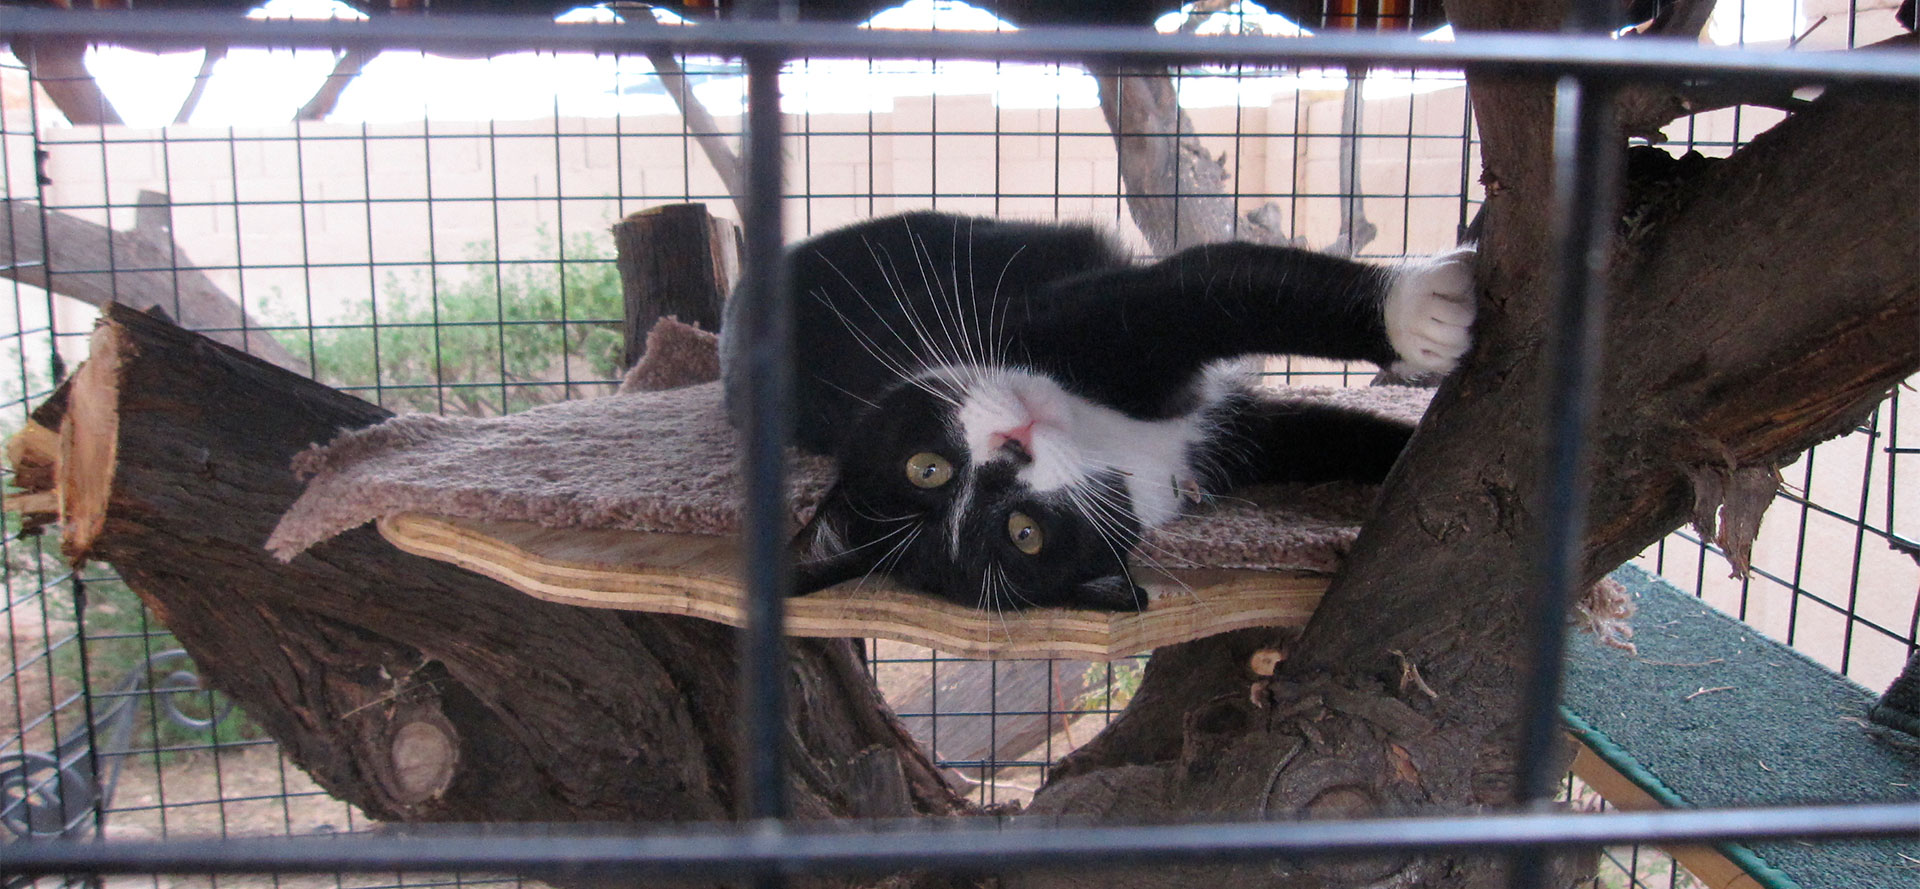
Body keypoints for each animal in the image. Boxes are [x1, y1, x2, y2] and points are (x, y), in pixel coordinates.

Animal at [721, 211, 1466, 614]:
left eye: (924, 467)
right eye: (1024, 534)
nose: (1012, 447)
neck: (1102, 433)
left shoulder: (1075, 327)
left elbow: (1215, 288)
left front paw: (1418, 312)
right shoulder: (1216, 446)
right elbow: (1316, 434)